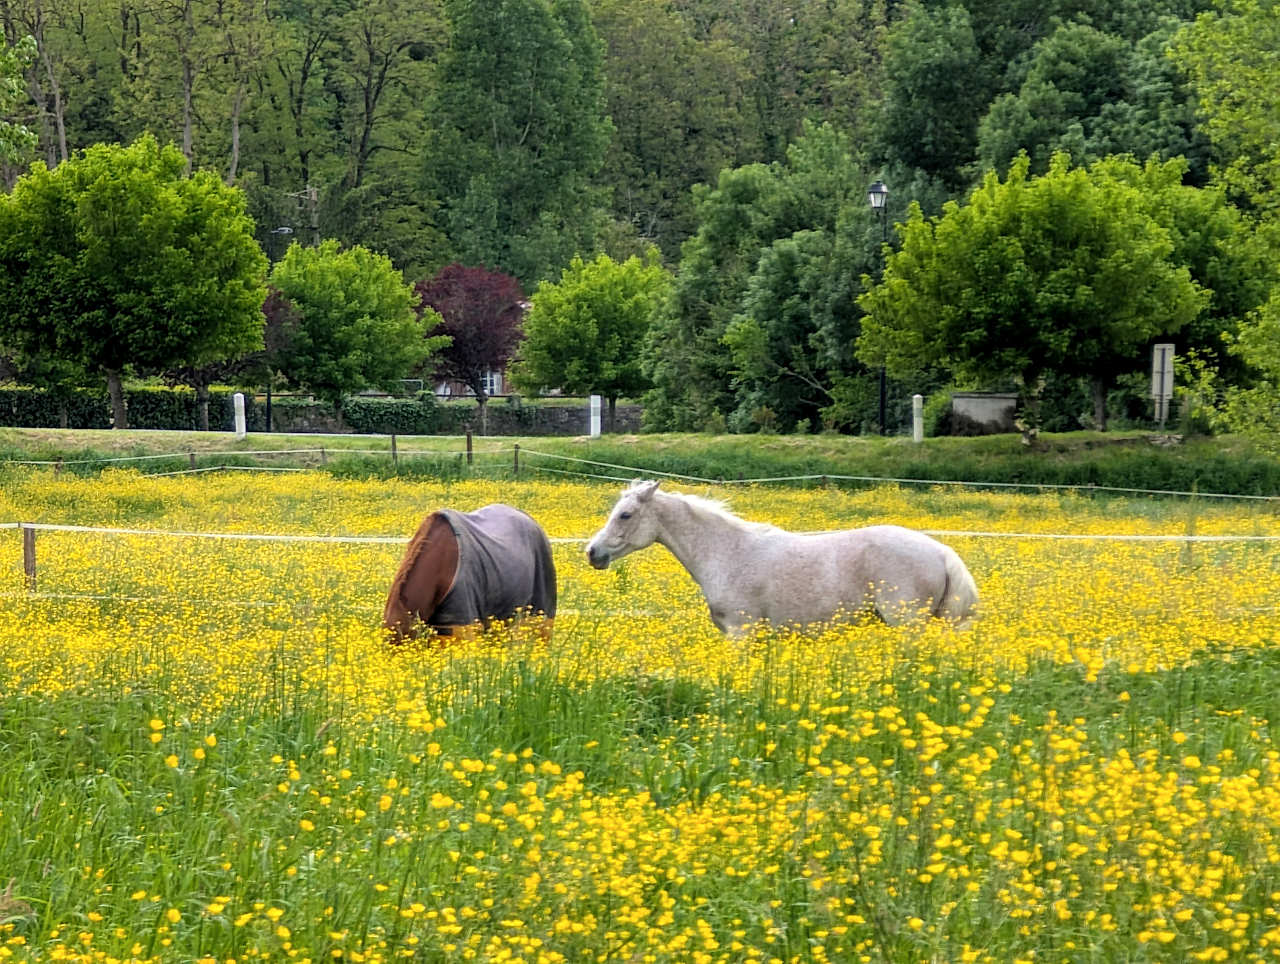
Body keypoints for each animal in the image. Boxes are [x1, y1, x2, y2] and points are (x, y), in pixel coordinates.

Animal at [585, 480, 978, 635]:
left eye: (625, 515)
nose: (593, 552)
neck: (727, 553)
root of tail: (941, 551)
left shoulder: (741, 633)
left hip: (908, 624)